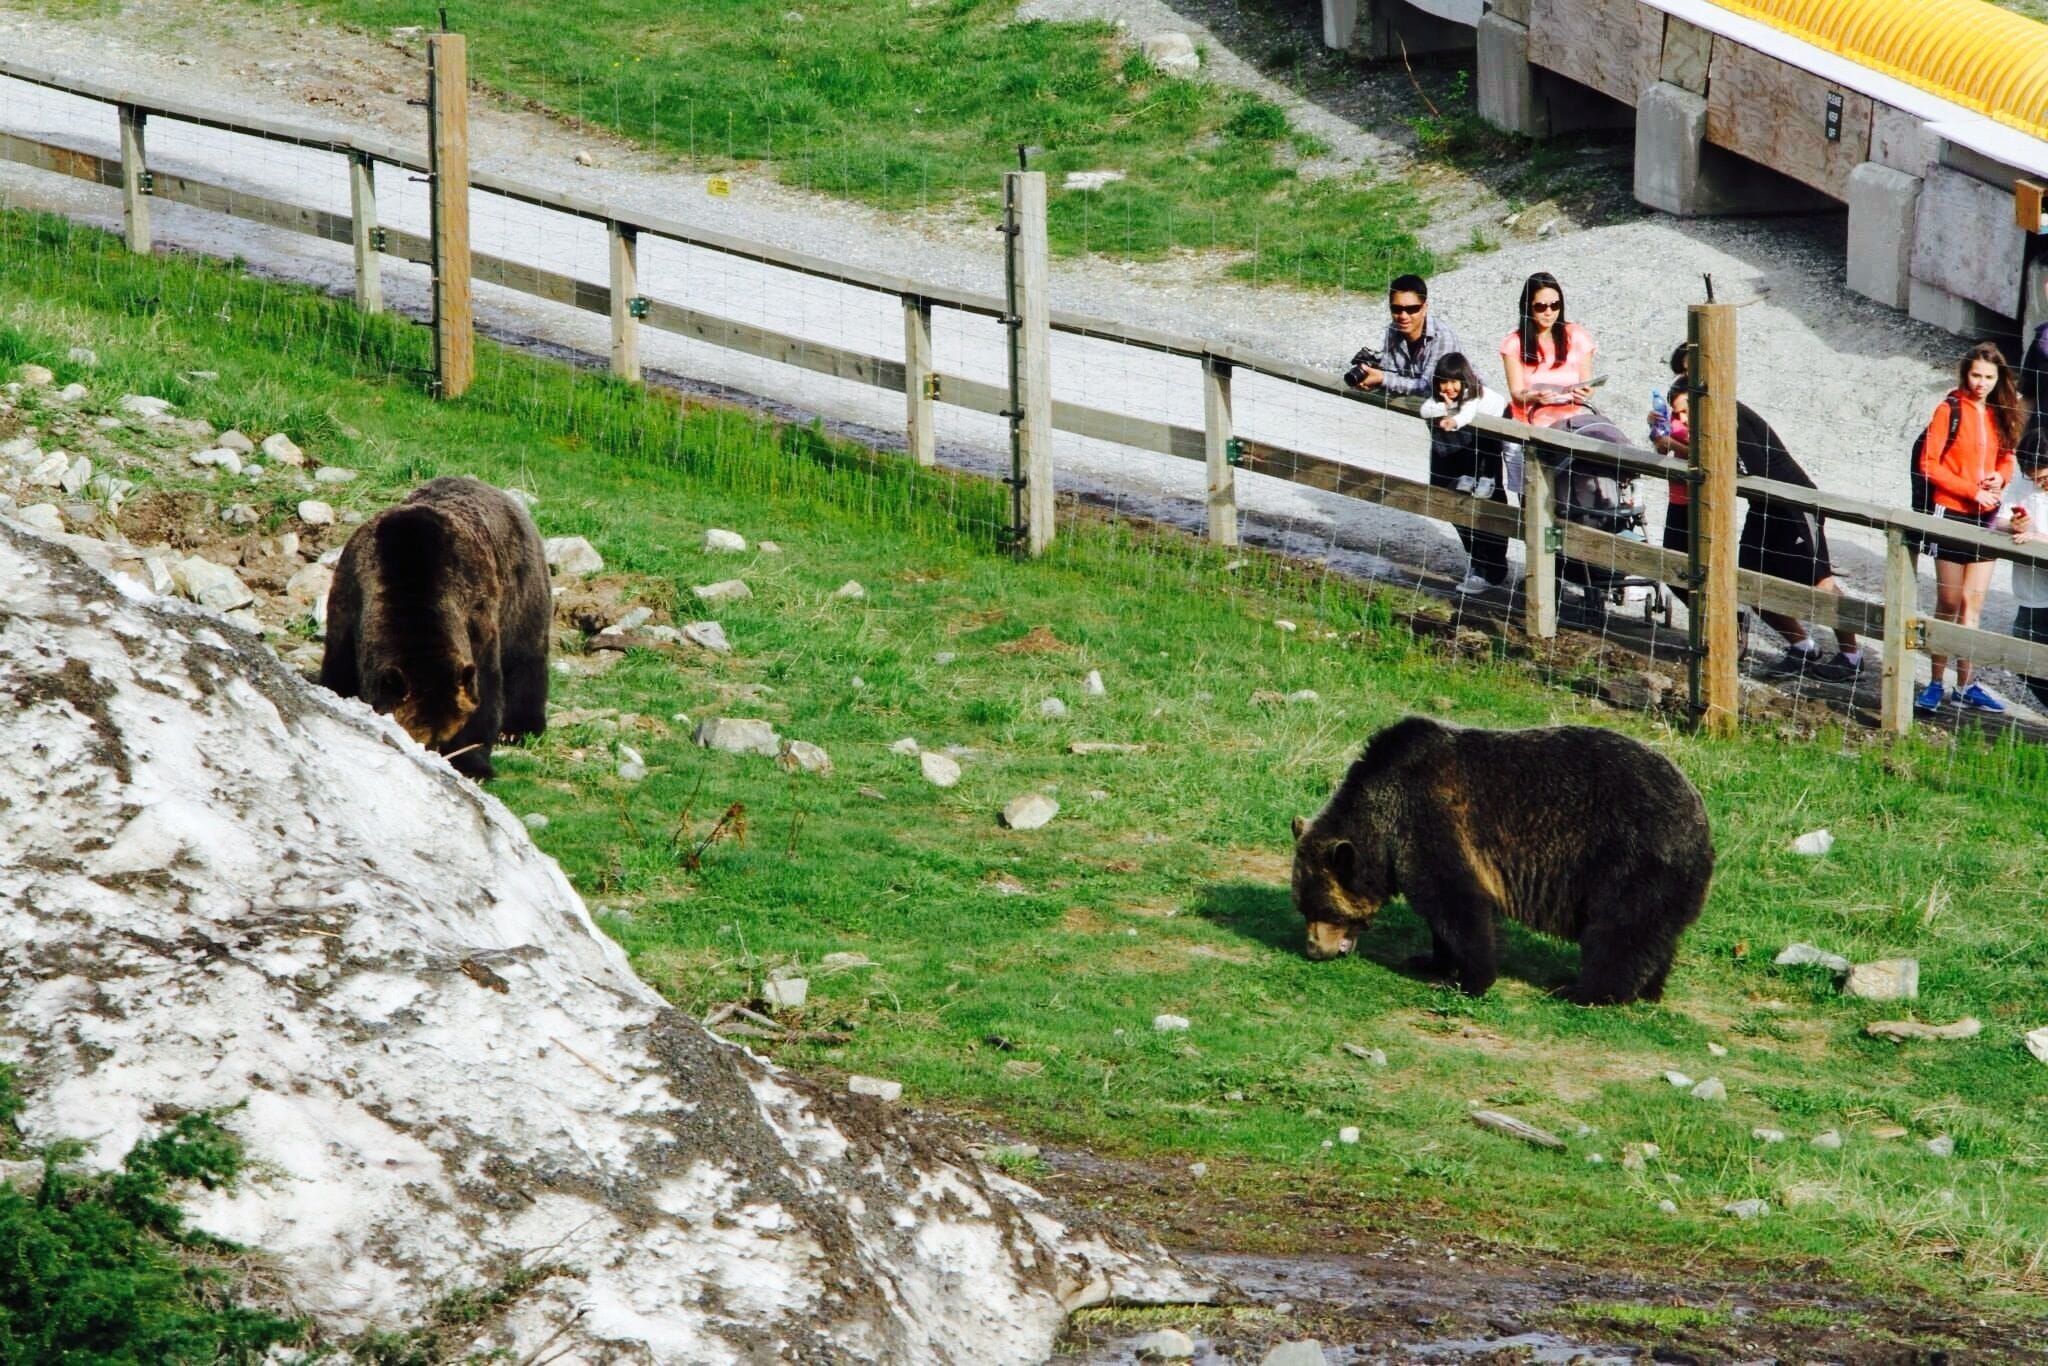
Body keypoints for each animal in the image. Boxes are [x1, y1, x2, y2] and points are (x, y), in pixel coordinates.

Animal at [319, 476, 552, 780]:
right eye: (416, 737)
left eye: (445, 738)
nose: (435, 757)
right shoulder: (349, 600)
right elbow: (339, 669)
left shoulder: (476, 614)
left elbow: (486, 690)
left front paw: (473, 763)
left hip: (521, 588)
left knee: (525, 657)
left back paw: (518, 729)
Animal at [1289, 715, 1713, 1005]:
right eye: (1303, 906)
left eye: (1322, 908)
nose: (1313, 950)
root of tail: (1703, 824)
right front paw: (1429, 959)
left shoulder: (1431, 823)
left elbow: (1457, 905)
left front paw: (1468, 979)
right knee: (1655, 933)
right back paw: (1649, 989)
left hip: (1631, 860)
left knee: (1619, 931)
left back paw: (1582, 990)